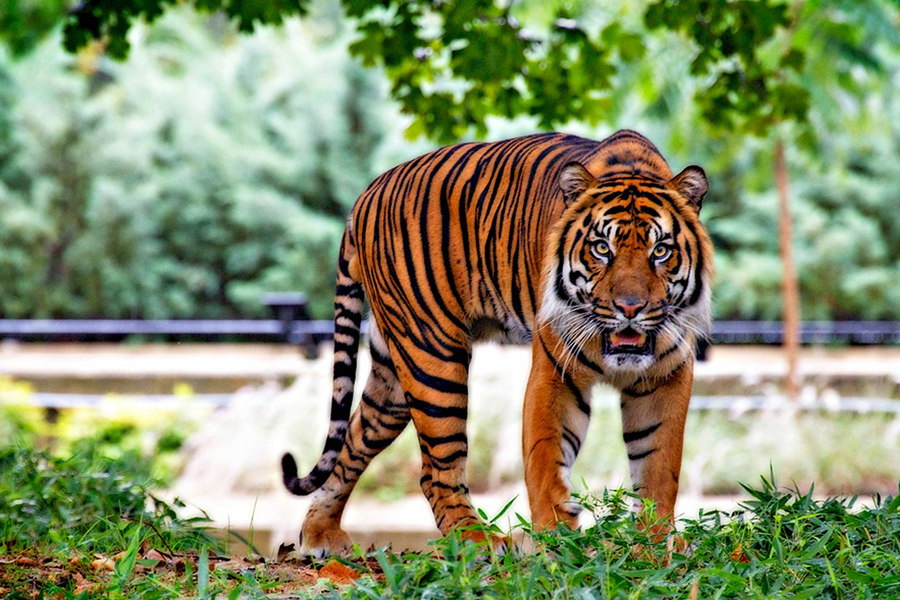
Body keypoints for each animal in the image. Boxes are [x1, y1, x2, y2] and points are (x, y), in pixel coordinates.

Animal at [282, 129, 712, 556]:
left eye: (661, 251)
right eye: (601, 248)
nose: (630, 307)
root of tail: (367, 193)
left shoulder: (667, 376)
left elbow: (659, 466)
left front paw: (652, 544)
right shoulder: (555, 373)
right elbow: (546, 460)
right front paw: (558, 543)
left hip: (393, 377)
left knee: (354, 440)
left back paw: (320, 533)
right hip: (433, 358)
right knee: (435, 470)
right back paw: (479, 540)